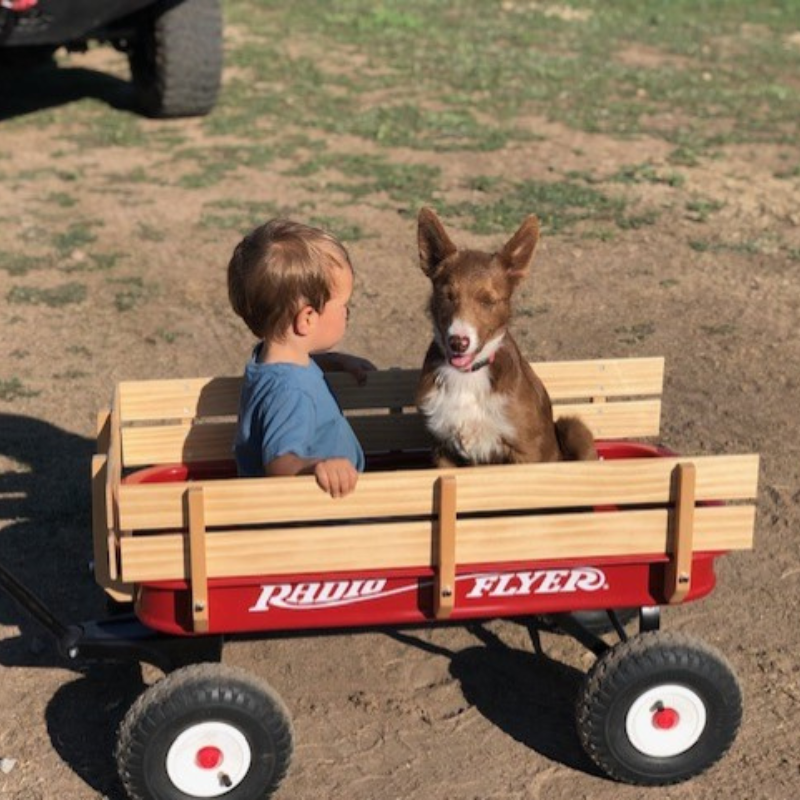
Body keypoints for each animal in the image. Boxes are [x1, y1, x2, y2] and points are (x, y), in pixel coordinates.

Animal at [416, 208, 596, 468]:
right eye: (447, 296)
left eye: (488, 301)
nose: (458, 342)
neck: (468, 376)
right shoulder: (442, 449)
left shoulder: (526, 452)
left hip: (574, 428)